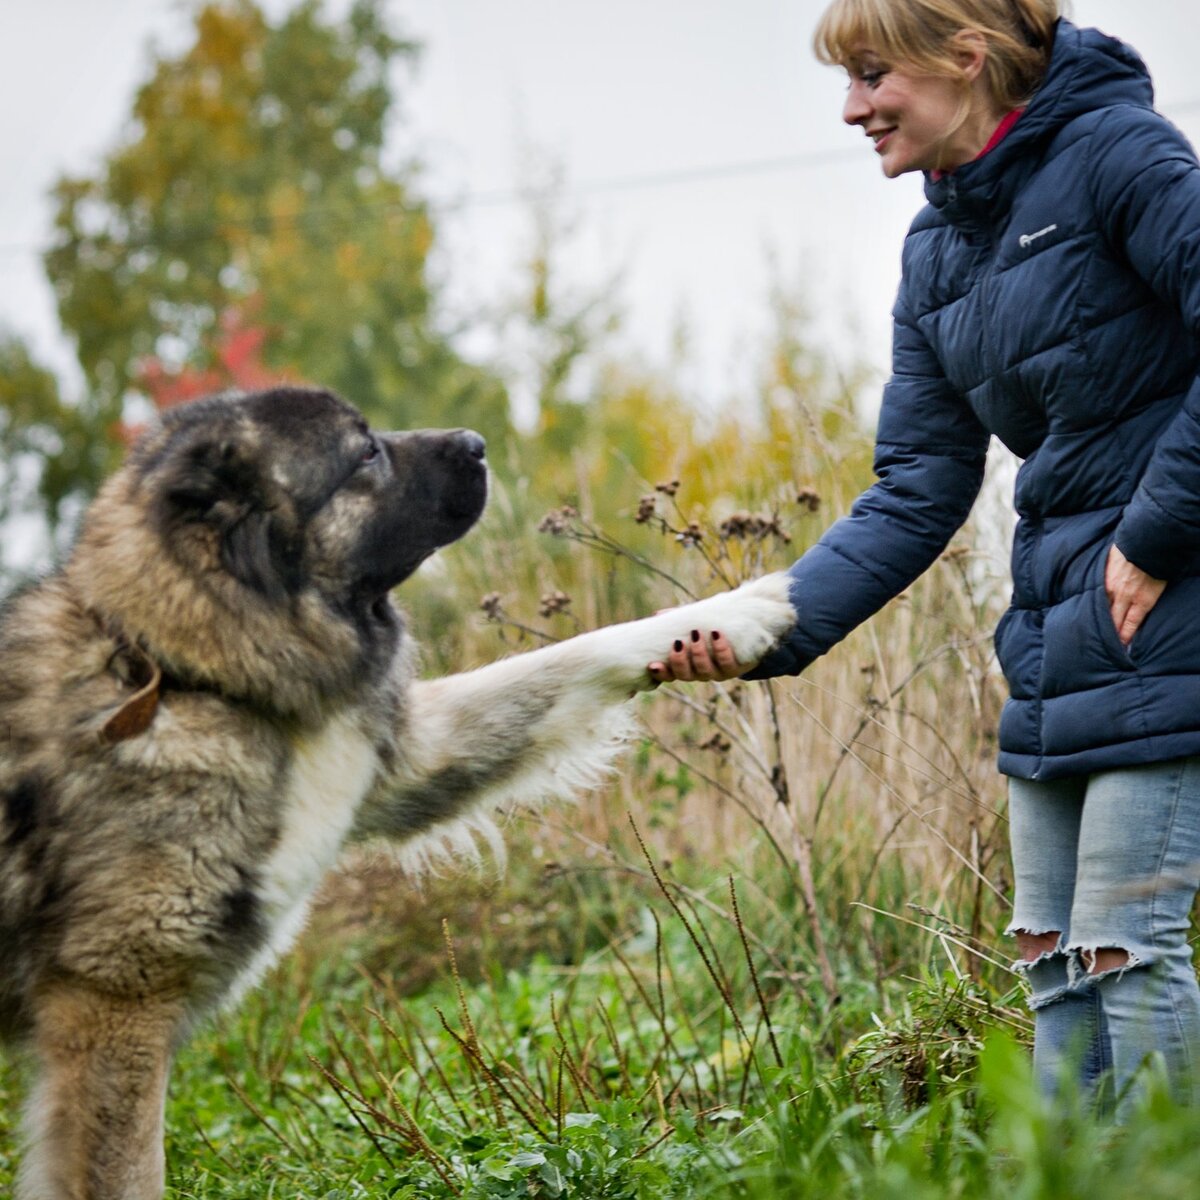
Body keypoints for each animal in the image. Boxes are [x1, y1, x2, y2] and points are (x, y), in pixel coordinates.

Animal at [0, 386, 796, 1200]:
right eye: (365, 454)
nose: (478, 442)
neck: (190, 677)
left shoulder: (404, 757)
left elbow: (572, 656)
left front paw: (734, 611)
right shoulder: (114, 1011)